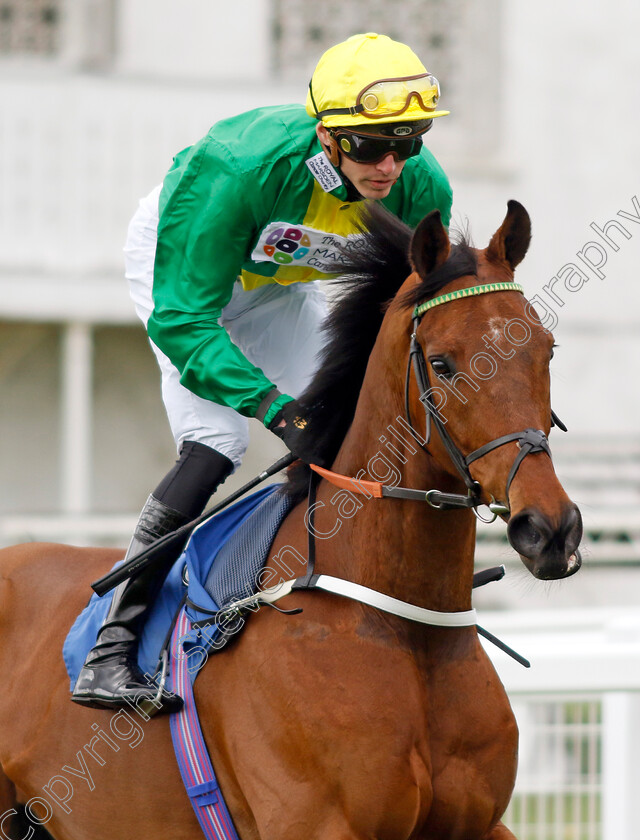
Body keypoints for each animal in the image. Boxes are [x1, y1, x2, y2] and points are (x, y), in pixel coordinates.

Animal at [0, 200, 580, 836]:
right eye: (442, 363)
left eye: (547, 349)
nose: (549, 528)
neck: (405, 627)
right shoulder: (318, 821)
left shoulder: (481, 823)